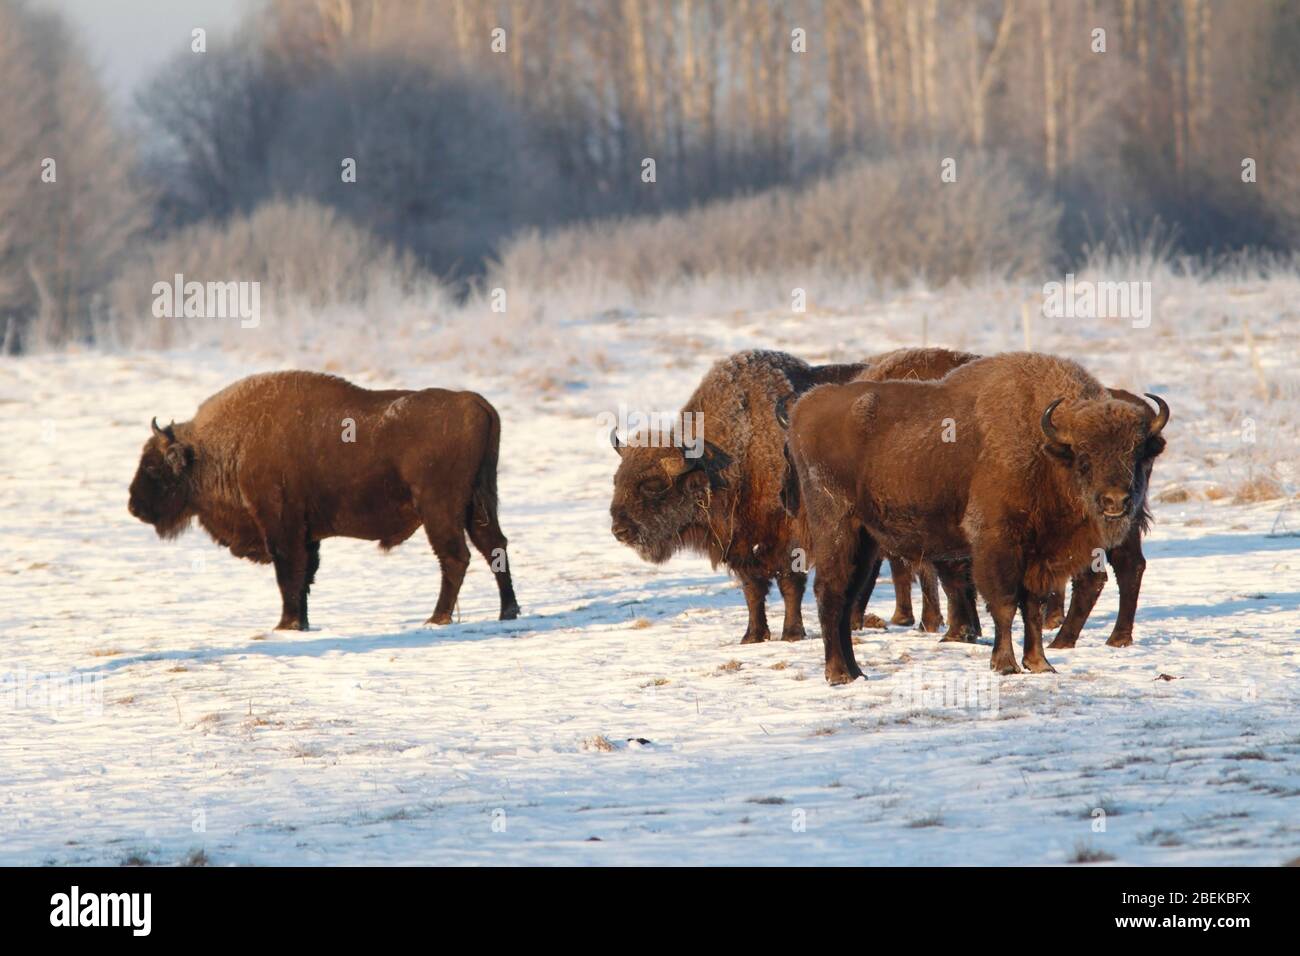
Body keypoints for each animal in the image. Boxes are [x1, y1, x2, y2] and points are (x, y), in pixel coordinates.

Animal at [128, 371, 519, 629]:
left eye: (153, 466)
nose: (133, 506)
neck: (219, 446)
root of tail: (473, 402)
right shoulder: (306, 534)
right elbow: (304, 578)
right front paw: (299, 624)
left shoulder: (281, 526)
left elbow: (289, 575)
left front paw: (285, 625)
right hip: (478, 503)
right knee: (493, 547)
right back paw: (507, 612)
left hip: (439, 509)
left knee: (456, 557)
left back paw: (437, 618)